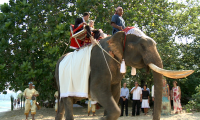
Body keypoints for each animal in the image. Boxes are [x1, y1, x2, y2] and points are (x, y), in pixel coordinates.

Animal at [54, 31, 193, 120]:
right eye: (142, 45)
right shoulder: (100, 63)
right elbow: (97, 90)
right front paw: (103, 118)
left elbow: (115, 93)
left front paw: (104, 116)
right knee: (68, 102)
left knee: (62, 104)